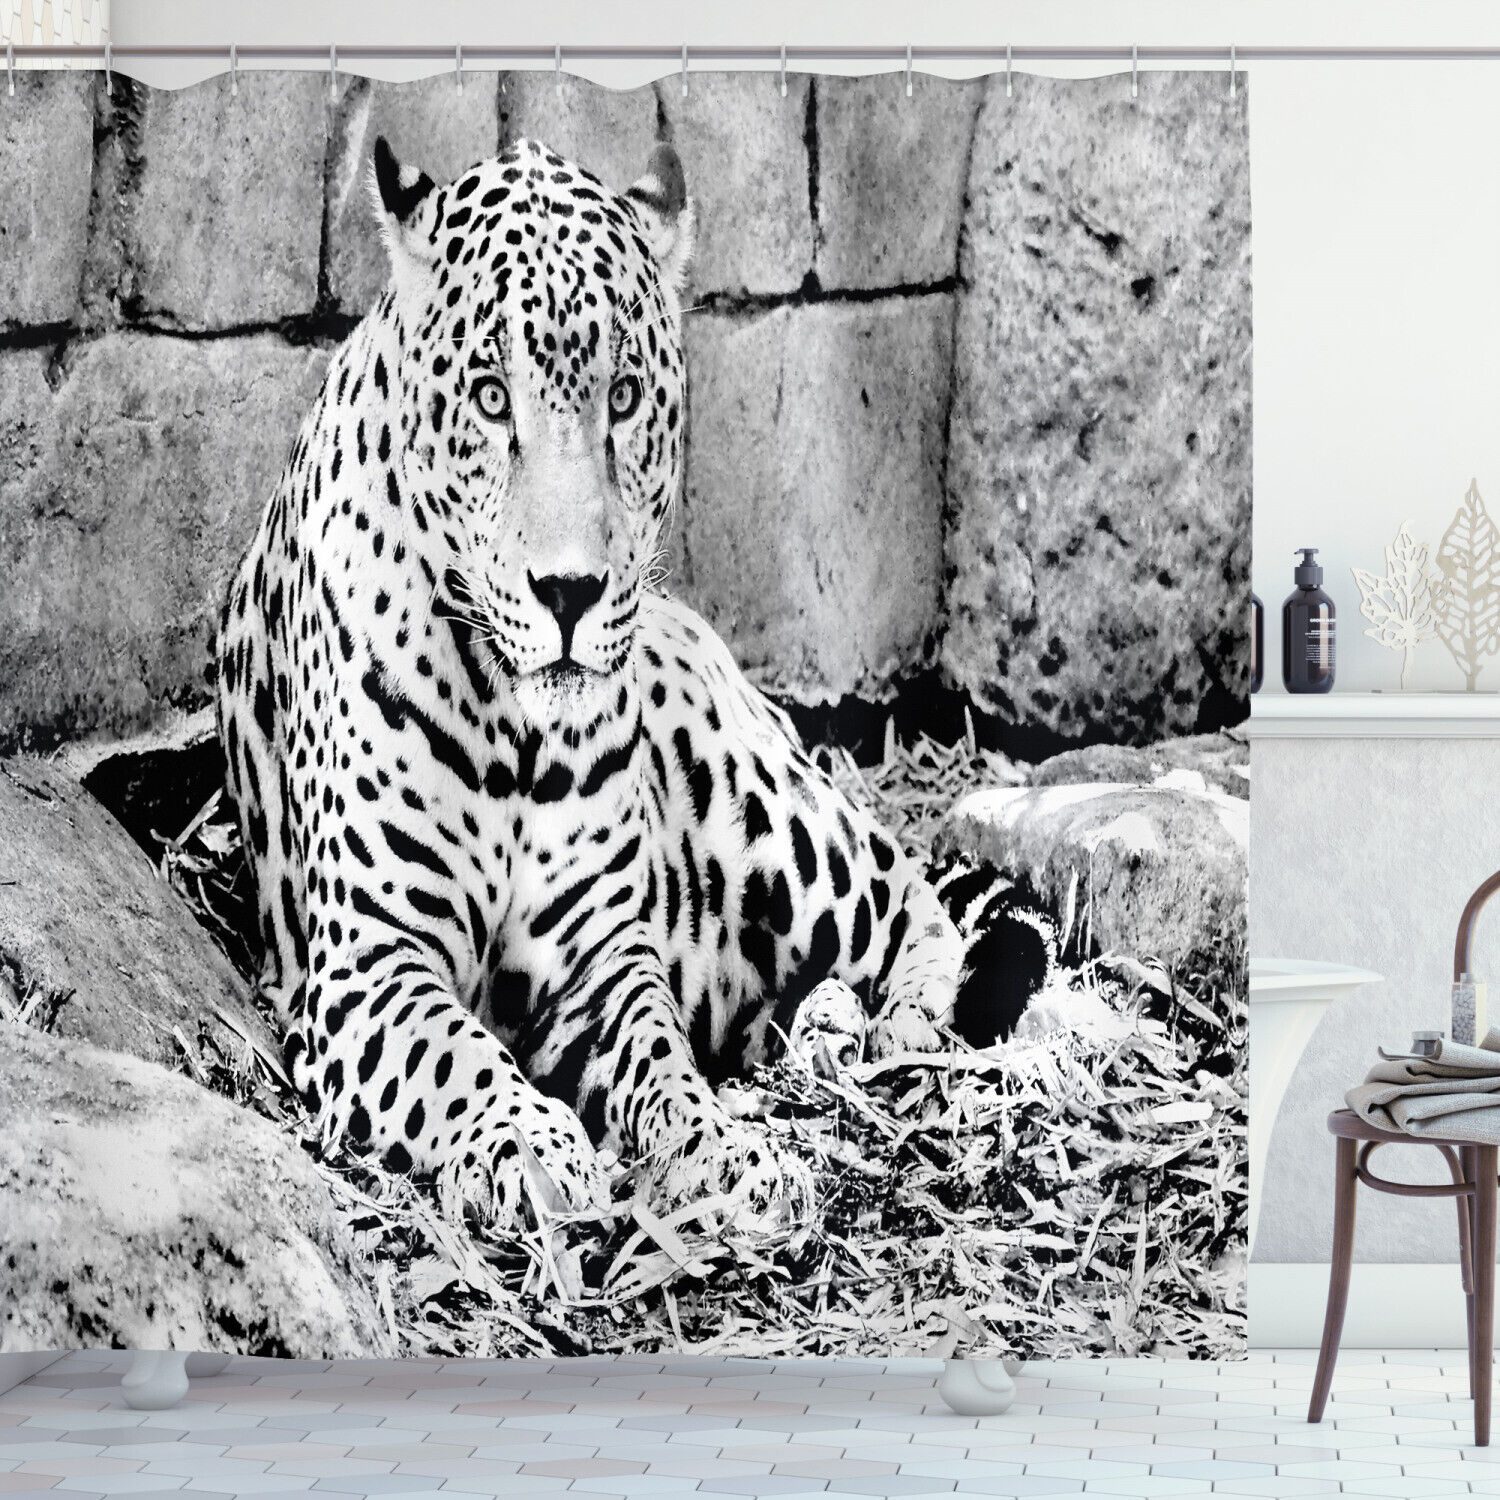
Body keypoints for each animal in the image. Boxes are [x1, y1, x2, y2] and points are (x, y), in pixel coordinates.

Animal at [216, 133, 966, 1227]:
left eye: (623, 396)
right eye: (492, 397)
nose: (570, 590)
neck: (517, 736)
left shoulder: (602, 958)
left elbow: (662, 1065)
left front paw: (727, 1153)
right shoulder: (368, 961)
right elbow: (453, 1054)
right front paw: (527, 1140)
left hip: (767, 811)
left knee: (908, 889)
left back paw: (899, 1025)